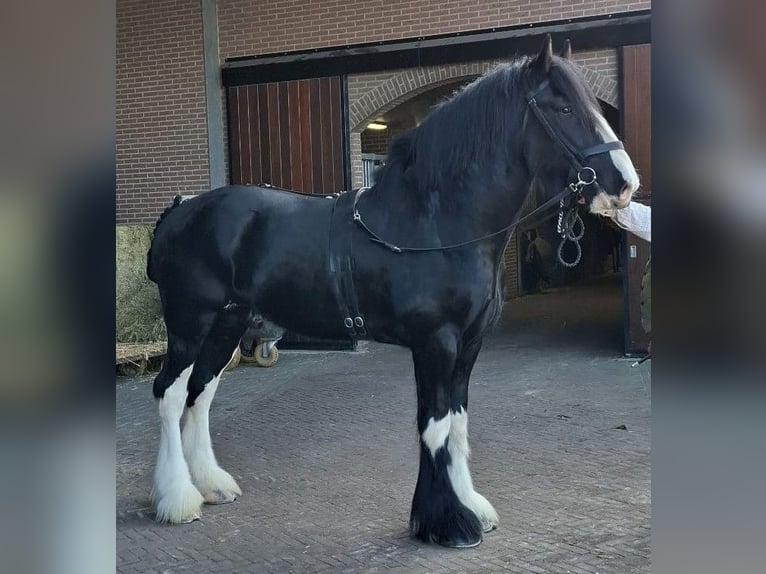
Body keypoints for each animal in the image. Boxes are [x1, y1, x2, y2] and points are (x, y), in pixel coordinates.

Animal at [146, 35, 639, 548]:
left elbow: (457, 421)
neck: (434, 222)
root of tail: (180, 210)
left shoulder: (469, 344)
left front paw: (467, 507)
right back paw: (178, 499)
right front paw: (447, 522)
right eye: (562, 107)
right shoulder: (435, 342)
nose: (624, 183)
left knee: (200, 392)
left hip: (227, 323)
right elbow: (435, 425)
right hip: (190, 325)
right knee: (170, 393)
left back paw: (210, 485)